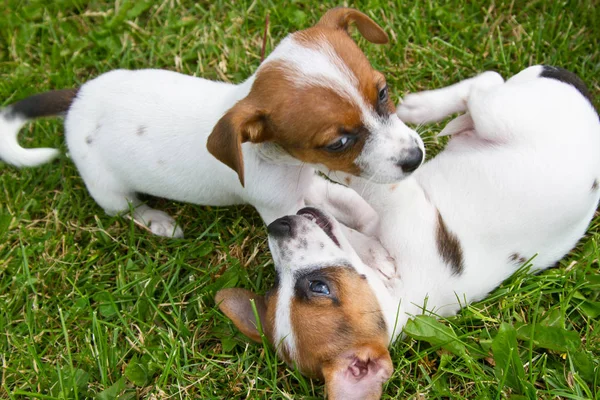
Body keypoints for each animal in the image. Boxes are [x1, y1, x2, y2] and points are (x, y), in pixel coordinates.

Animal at [0, 7, 424, 238]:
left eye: (383, 92)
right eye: (338, 143)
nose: (415, 159)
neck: (280, 161)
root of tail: (79, 98)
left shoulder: (305, 187)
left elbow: (349, 204)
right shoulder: (279, 207)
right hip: (108, 190)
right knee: (125, 209)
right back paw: (158, 221)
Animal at [217, 67, 600, 398]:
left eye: (317, 287)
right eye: (278, 282)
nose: (278, 225)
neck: (399, 293)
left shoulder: (382, 208)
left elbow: (351, 189)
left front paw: (323, 165)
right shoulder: (384, 211)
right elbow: (358, 198)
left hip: (503, 114)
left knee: (486, 84)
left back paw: (425, 108)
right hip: (505, 113)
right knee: (487, 86)